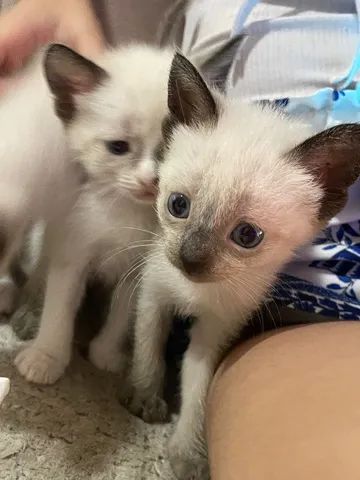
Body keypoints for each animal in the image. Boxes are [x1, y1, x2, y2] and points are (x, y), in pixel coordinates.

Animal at [124, 52, 360, 480]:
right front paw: (145, 400)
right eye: (178, 205)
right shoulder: (154, 291)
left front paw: (187, 455)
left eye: (247, 236)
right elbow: (148, 349)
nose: (190, 259)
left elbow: (197, 388)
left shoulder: (218, 327)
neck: (194, 293)